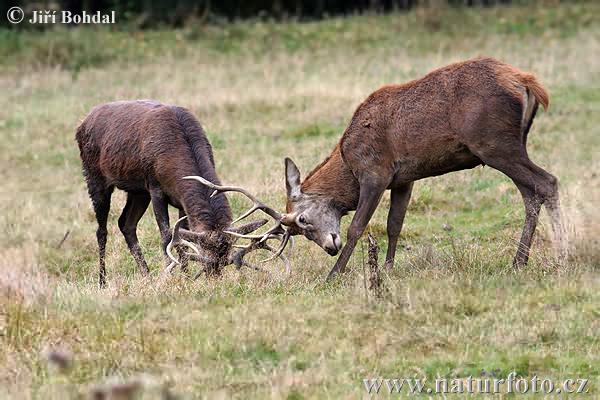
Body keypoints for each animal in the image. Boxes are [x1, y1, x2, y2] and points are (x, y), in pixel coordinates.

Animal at [75, 100, 288, 288]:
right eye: (205, 259)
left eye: (225, 260)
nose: (214, 279)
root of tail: (83, 122)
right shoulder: (155, 188)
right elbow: (166, 237)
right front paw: (171, 276)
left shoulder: (181, 201)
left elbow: (182, 242)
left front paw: (185, 277)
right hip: (94, 176)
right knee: (102, 230)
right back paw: (103, 282)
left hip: (138, 191)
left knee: (126, 223)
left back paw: (147, 276)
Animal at [196, 57, 564, 282]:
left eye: (302, 221)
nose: (329, 247)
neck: (347, 160)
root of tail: (528, 83)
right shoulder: (405, 178)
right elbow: (394, 224)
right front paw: (386, 269)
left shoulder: (375, 172)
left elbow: (358, 226)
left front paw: (334, 275)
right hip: (509, 144)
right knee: (530, 193)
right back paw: (519, 261)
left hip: (494, 142)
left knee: (547, 182)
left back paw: (561, 257)